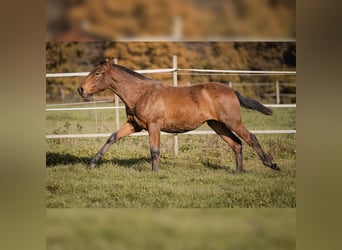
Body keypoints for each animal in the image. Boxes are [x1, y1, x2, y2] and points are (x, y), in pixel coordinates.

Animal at [77, 59, 280, 172]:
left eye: (97, 73)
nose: (81, 89)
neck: (142, 94)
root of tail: (232, 91)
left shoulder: (153, 125)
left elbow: (154, 150)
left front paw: (154, 173)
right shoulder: (135, 125)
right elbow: (112, 137)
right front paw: (91, 164)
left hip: (232, 121)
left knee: (250, 138)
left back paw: (272, 165)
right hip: (217, 125)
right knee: (236, 144)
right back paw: (238, 171)